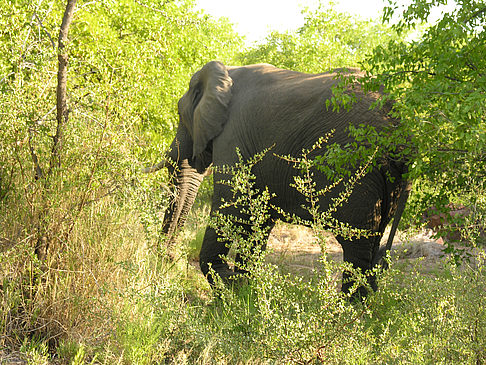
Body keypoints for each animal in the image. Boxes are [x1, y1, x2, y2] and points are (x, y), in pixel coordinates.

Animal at [151, 61, 410, 298]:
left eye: (180, 115)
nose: (168, 258)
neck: (225, 73)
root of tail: (404, 132)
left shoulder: (232, 135)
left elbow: (232, 205)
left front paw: (231, 284)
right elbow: (259, 215)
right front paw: (244, 290)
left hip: (360, 170)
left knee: (356, 245)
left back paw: (345, 312)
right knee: (373, 244)